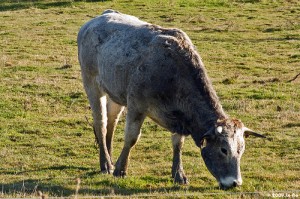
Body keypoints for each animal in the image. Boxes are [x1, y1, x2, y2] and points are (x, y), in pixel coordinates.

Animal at [78, 9, 264, 190]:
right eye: (223, 149)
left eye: (241, 150)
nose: (235, 183)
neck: (173, 71)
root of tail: (99, 17)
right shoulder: (136, 105)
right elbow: (131, 138)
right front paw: (120, 170)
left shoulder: (180, 115)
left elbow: (178, 143)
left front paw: (178, 174)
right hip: (92, 84)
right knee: (101, 123)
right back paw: (106, 164)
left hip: (115, 93)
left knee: (111, 122)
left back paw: (108, 157)